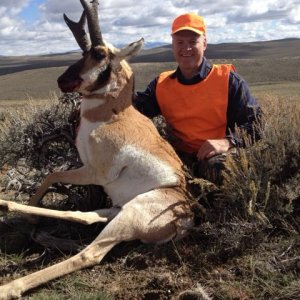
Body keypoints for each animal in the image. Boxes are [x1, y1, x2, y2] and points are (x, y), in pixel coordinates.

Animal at [0, 1, 195, 298]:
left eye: (99, 53)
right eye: (82, 51)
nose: (61, 80)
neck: (112, 114)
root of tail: (185, 215)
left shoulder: (93, 172)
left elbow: (52, 174)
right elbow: (52, 176)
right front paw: (30, 218)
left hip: (129, 215)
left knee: (89, 254)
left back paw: (10, 287)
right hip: (118, 209)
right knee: (84, 216)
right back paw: (6, 205)